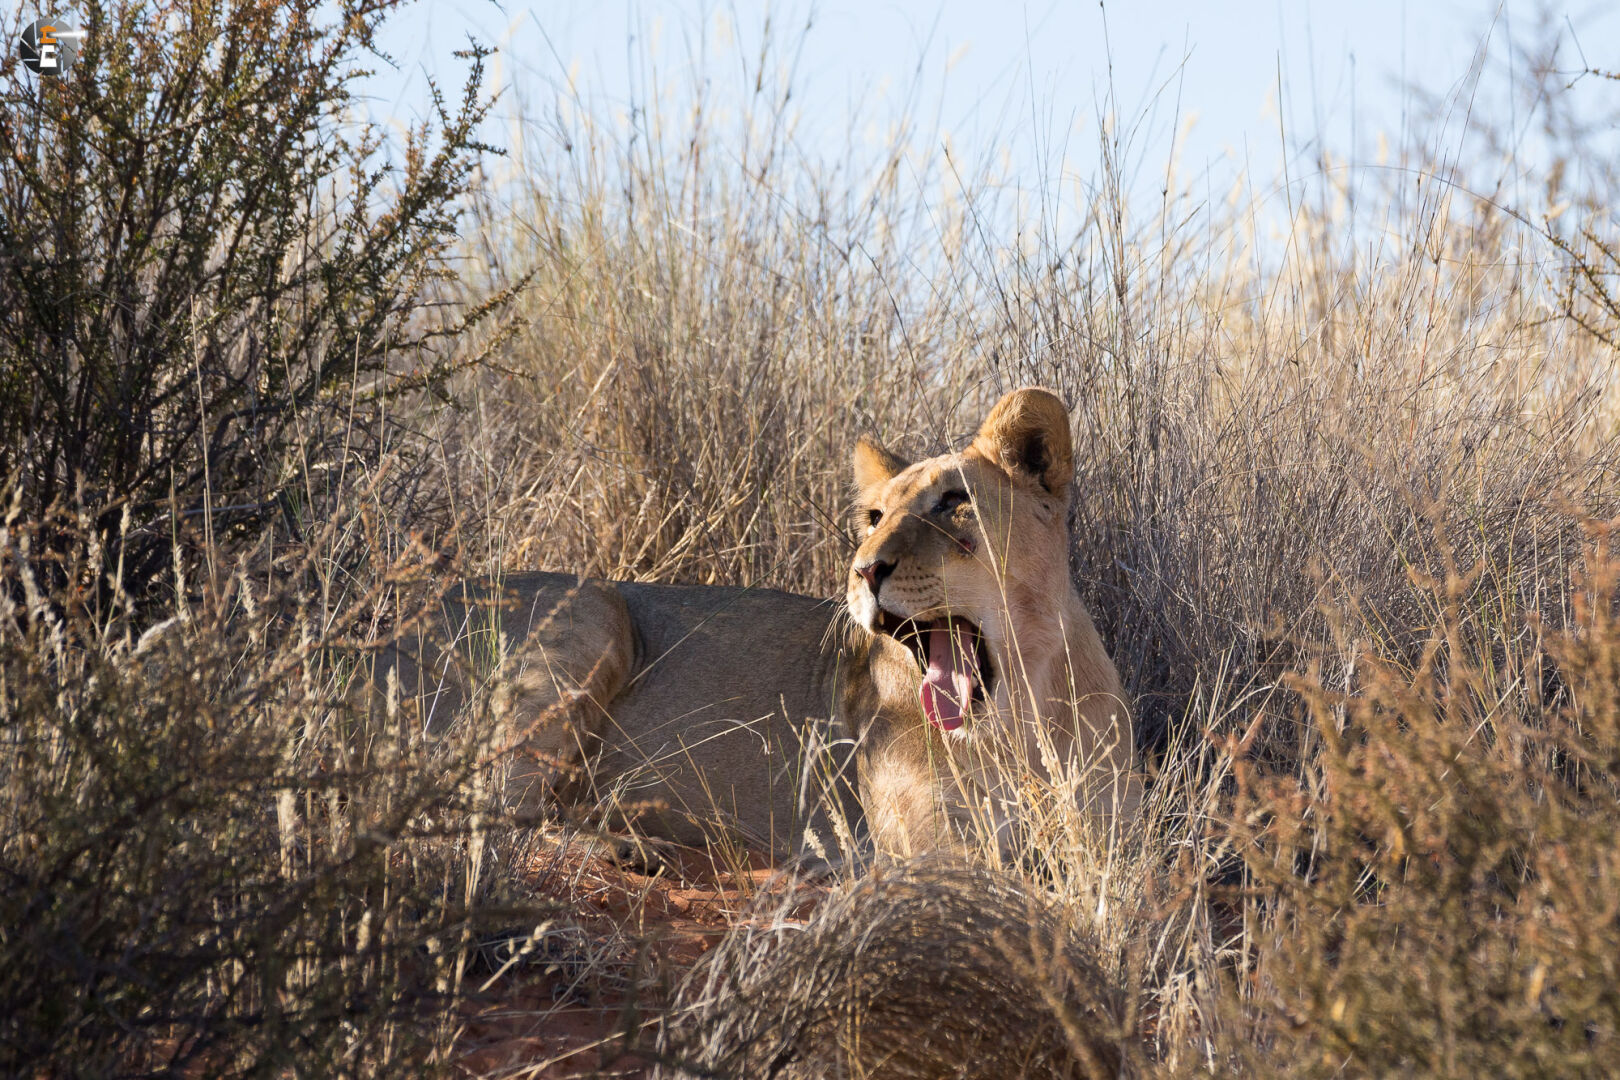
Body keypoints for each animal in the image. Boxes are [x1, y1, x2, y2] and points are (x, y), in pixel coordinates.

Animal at [380, 387, 1137, 861]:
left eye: (954, 503)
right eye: (874, 517)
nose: (864, 570)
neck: (1023, 712)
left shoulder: (1122, 829)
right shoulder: (923, 838)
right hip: (594, 612)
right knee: (474, 817)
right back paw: (627, 844)